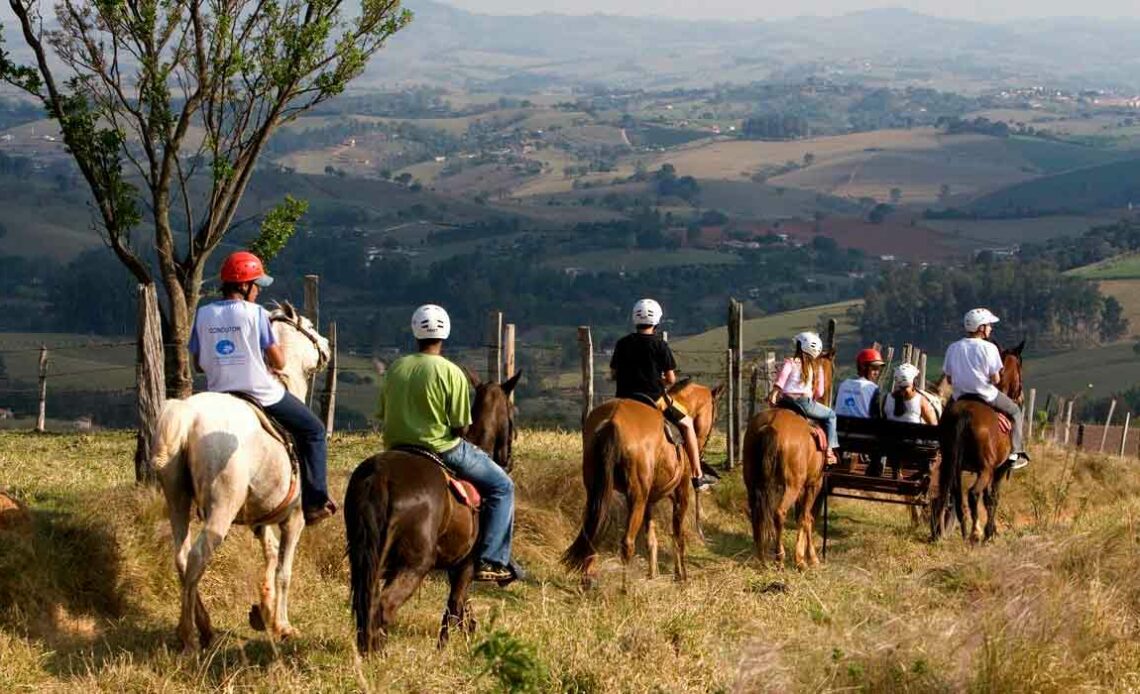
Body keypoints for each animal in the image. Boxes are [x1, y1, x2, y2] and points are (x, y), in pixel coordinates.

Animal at [153, 300, 330, 651]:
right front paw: (282, 625)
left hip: (176, 498)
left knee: (182, 558)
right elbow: (284, 570)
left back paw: (203, 625)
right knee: (197, 557)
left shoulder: (260, 519)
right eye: (307, 325)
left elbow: (270, 554)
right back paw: (189, 636)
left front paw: (264, 612)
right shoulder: (294, 519)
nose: (327, 346)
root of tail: (188, 416)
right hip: (222, 506)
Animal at [337, 371, 517, 651]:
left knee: (366, 603)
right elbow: (454, 607)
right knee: (383, 607)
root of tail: (380, 476)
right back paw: (379, 654)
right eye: (511, 414)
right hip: (415, 563)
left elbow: (462, 608)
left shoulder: (456, 566)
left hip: (367, 556)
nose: (508, 459)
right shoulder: (466, 565)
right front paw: (444, 649)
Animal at [558, 380, 720, 588]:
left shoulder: (649, 499)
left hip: (598, 492)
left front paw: (653, 573)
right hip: (637, 497)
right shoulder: (681, 492)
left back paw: (589, 578)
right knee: (627, 542)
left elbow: (651, 536)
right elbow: (678, 535)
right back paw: (625, 588)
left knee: (592, 531)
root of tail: (613, 420)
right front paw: (681, 575)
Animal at [743, 350, 834, 567]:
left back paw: (761, 556)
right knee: (779, 513)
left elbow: (804, 517)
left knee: (757, 513)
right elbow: (806, 518)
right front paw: (807, 558)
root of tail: (770, 425)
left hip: (752, 482)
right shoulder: (813, 484)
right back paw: (780, 557)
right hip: (792, 485)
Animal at [934, 339, 1026, 542]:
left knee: (948, 494)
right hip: (985, 470)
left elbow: (987, 499)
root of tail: (965, 413)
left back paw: (945, 531)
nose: (1021, 399)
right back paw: (975, 533)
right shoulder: (998, 469)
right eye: (1021, 369)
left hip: (951, 464)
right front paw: (990, 532)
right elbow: (993, 498)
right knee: (972, 494)